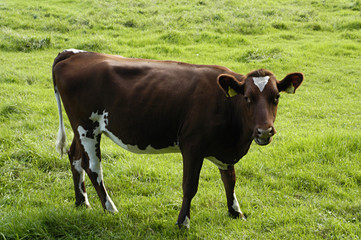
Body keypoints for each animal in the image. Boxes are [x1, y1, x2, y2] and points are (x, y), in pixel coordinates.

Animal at [52, 49, 302, 229]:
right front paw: (183, 222)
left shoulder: (225, 149)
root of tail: (75, 53)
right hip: (88, 126)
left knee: (75, 157)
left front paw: (235, 212)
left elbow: (229, 179)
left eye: (276, 97)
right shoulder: (192, 146)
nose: (264, 131)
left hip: (80, 129)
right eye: (248, 98)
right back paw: (110, 208)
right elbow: (189, 186)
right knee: (92, 166)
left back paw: (81, 202)